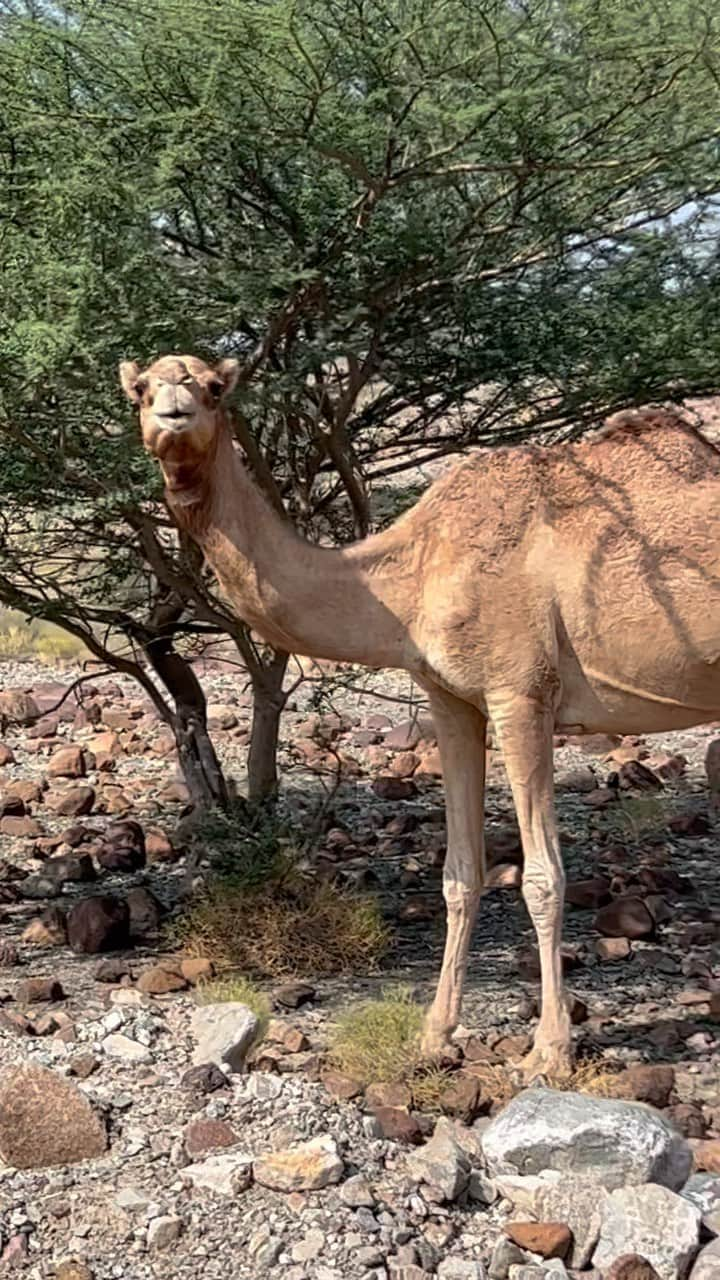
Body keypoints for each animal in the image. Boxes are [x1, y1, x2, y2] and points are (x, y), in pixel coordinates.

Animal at [117, 353, 717, 1080]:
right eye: (141, 389)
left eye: (211, 388)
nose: (173, 413)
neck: (412, 574)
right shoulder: (450, 696)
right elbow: (460, 874)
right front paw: (435, 1034)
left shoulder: (521, 692)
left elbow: (543, 878)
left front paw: (549, 1052)